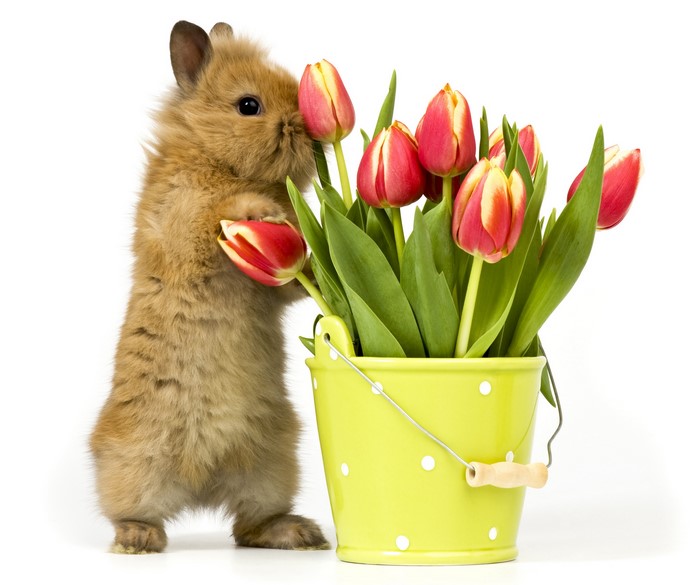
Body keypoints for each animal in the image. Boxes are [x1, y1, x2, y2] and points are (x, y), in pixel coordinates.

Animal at [89, 20, 328, 554]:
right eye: (248, 105)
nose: (312, 136)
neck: (213, 154)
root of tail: (202, 482)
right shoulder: (181, 221)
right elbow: (212, 217)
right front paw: (262, 211)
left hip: (272, 466)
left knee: (248, 527)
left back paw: (300, 532)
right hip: (135, 462)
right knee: (132, 511)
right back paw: (136, 539)